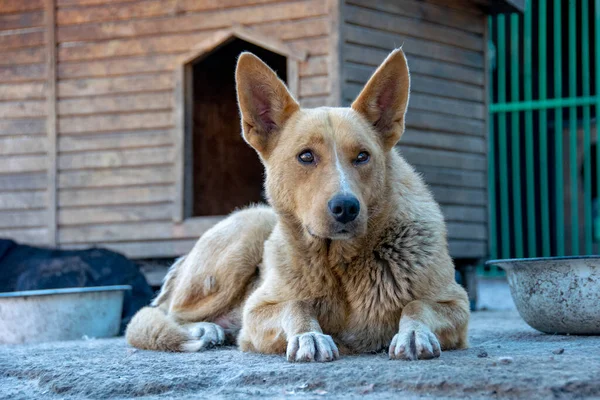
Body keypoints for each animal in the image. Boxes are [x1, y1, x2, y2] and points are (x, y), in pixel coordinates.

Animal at [127, 48, 474, 360]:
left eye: (362, 156)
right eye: (306, 156)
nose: (346, 208)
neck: (339, 261)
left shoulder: (457, 304)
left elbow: (417, 304)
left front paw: (414, 332)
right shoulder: (257, 312)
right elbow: (295, 304)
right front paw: (310, 335)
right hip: (248, 232)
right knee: (165, 314)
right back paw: (202, 329)